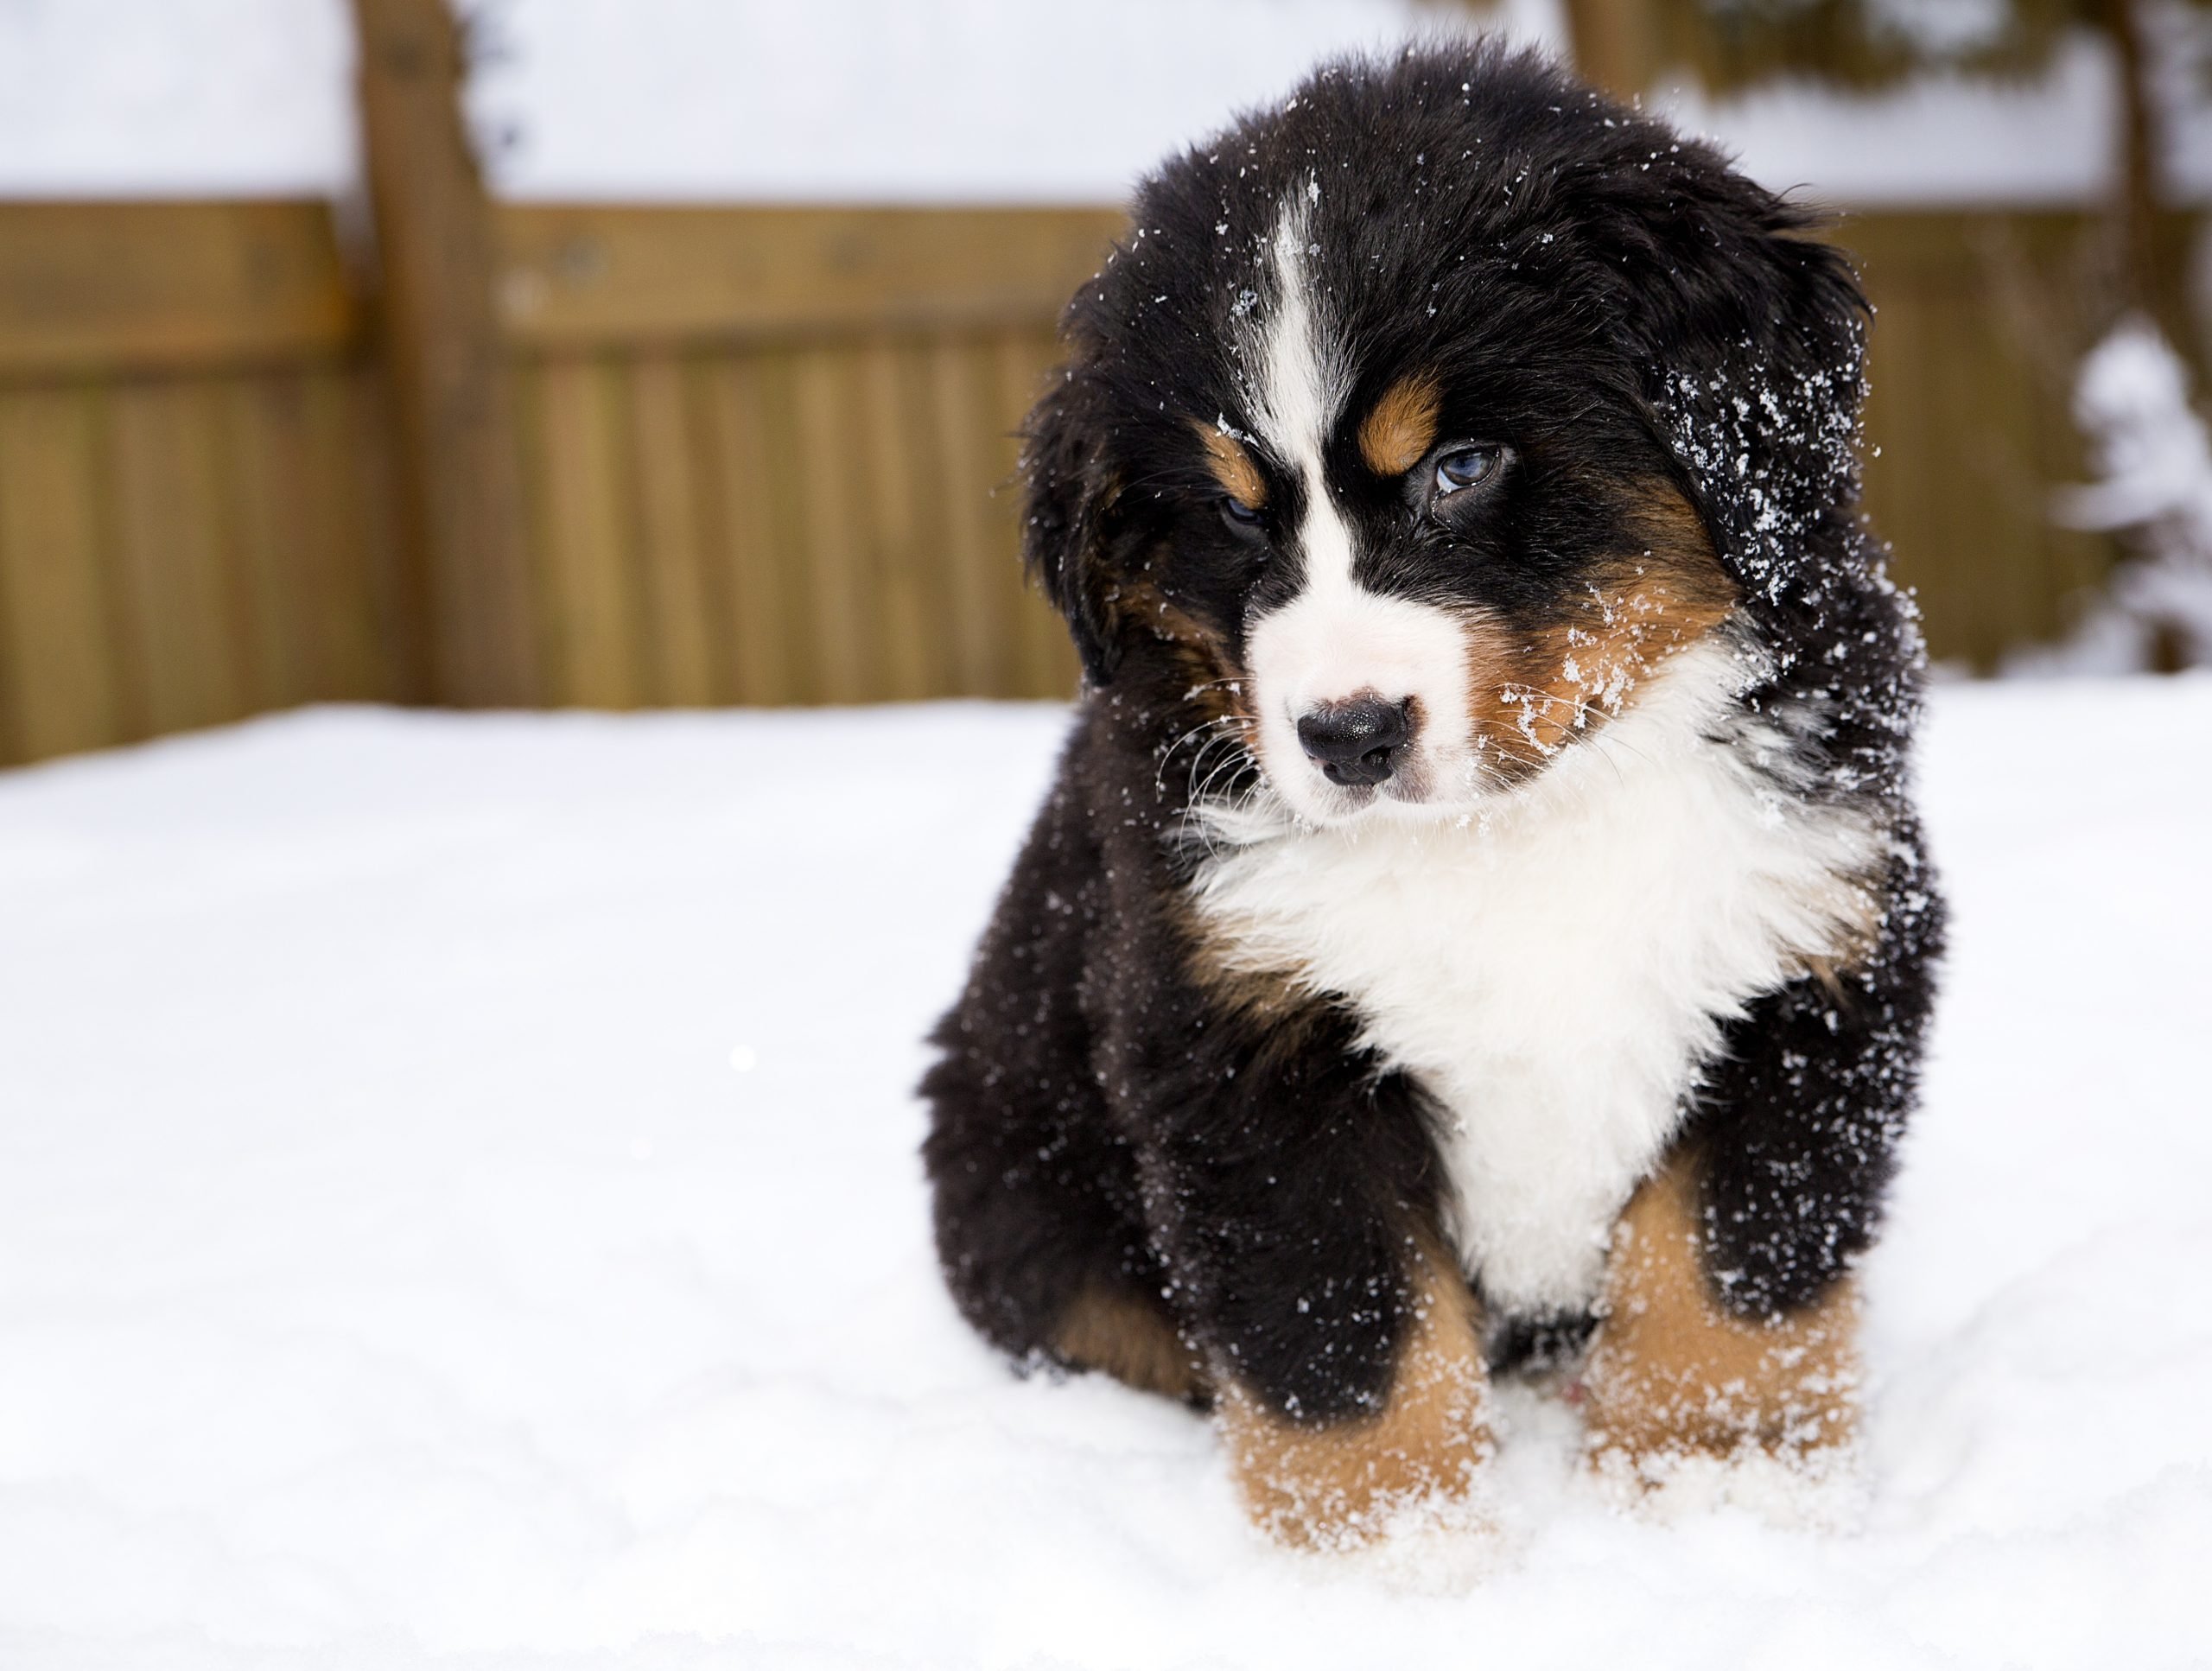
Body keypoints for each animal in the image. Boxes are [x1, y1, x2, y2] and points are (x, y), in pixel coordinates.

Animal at [915, 39, 1937, 1549]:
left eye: (1462, 467)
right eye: (1233, 512)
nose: (1347, 733)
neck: (1518, 826)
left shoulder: (1812, 955)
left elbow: (1727, 1275)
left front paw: (1714, 1497)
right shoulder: (1243, 1037)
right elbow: (1347, 1335)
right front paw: (1396, 1558)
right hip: (1021, 1196)